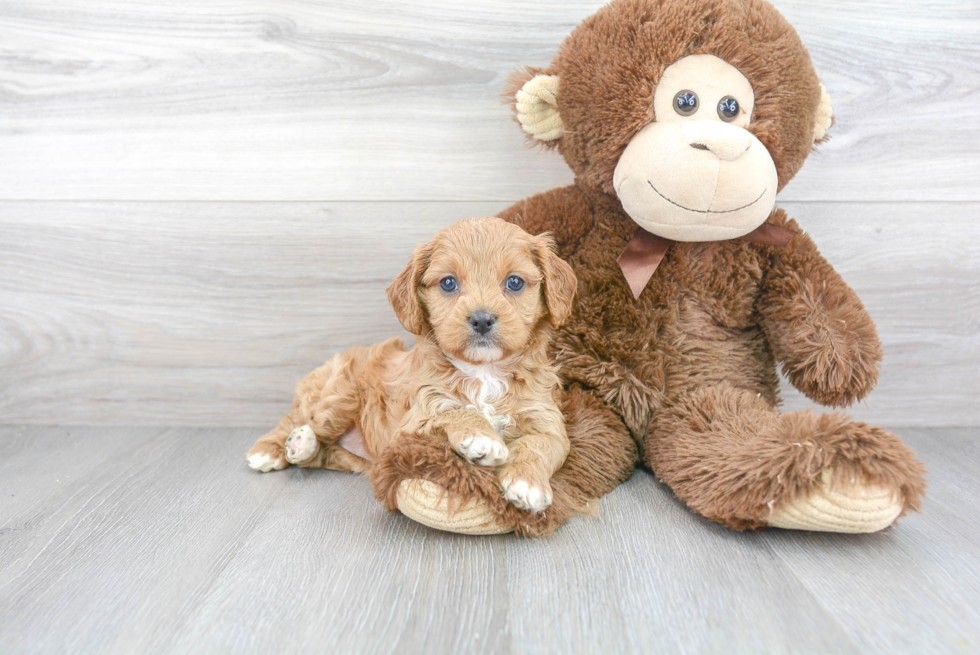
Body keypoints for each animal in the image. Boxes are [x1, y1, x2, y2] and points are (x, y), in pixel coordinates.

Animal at [249, 218, 580, 516]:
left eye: (514, 282)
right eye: (448, 283)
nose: (482, 319)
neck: (483, 372)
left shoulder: (546, 417)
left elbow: (540, 444)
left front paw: (526, 483)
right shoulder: (414, 419)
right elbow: (453, 410)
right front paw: (482, 438)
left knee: (325, 451)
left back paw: (302, 445)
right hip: (339, 397)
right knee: (297, 417)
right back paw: (272, 449)